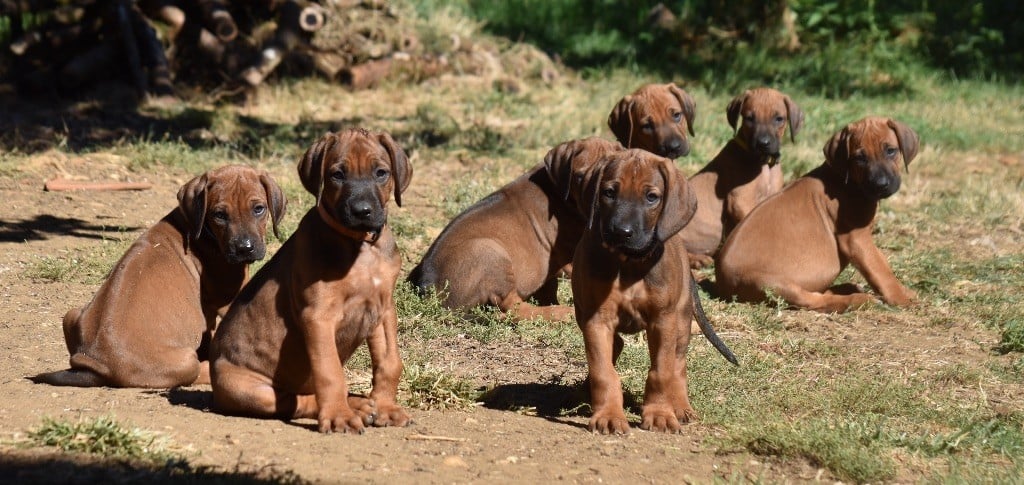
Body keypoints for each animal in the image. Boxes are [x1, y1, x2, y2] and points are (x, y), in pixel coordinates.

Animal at [30, 164, 284, 388]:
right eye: (219, 215)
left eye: (259, 209)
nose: (245, 248)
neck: (199, 227)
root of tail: (97, 365)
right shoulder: (230, 297)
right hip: (185, 361)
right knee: (197, 369)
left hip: (71, 315)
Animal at [207, 127, 411, 431]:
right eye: (337, 174)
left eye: (381, 172)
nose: (362, 211)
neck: (360, 246)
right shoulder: (319, 317)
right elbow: (330, 371)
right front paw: (338, 415)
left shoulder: (384, 309)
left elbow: (389, 362)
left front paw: (386, 407)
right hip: (248, 389)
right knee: (296, 401)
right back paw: (353, 408)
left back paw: (361, 404)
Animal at [569, 148, 737, 435]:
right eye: (609, 192)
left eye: (651, 197)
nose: (621, 232)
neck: (628, 263)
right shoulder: (597, 319)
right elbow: (603, 371)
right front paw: (608, 415)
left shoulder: (663, 320)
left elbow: (662, 371)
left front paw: (660, 414)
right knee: (614, 348)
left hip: (681, 321)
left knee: (678, 363)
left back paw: (680, 406)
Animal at [716, 118, 925, 315]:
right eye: (859, 158)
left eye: (891, 151)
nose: (881, 184)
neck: (846, 179)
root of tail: (722, 284)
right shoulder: (856, 239)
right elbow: (880, 270)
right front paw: (901, 298)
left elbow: (881, 263)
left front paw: (904, 291)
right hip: (773, 284)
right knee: (814, 301)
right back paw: (857, 299)